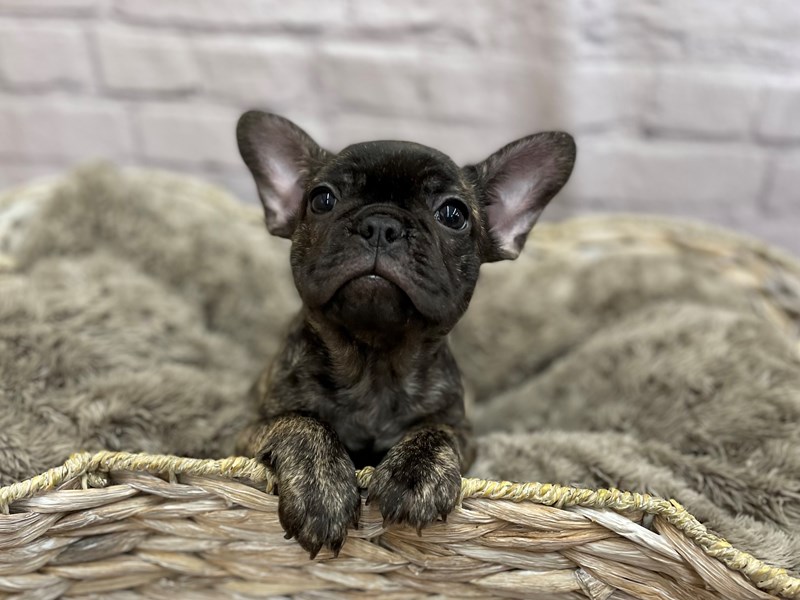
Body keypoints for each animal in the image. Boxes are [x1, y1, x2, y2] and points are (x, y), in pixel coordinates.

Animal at [234, 112, 572, 556]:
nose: (381, 224)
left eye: (453, 214)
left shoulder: (462, 431)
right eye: (322, 200)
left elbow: (434, 431)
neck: (374, 360)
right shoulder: (249, 429)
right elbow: (301, 422)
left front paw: (415, 475)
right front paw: (322, 490)